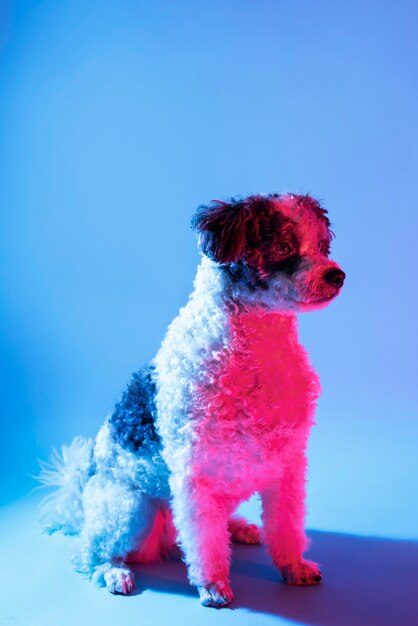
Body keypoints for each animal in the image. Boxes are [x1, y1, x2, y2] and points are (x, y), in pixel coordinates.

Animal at [39, 194, 346, 604]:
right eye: (283, 247)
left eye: (323, 247)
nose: (337, 274)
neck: (258, 350)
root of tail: (80, 496)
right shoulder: (195, 471)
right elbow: (204, 540)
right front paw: (213, 584)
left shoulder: (288, 464)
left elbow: (286, 526)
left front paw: (293, 567)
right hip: (130, 507)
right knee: (89, 552)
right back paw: (113, 571)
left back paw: (239, 527)